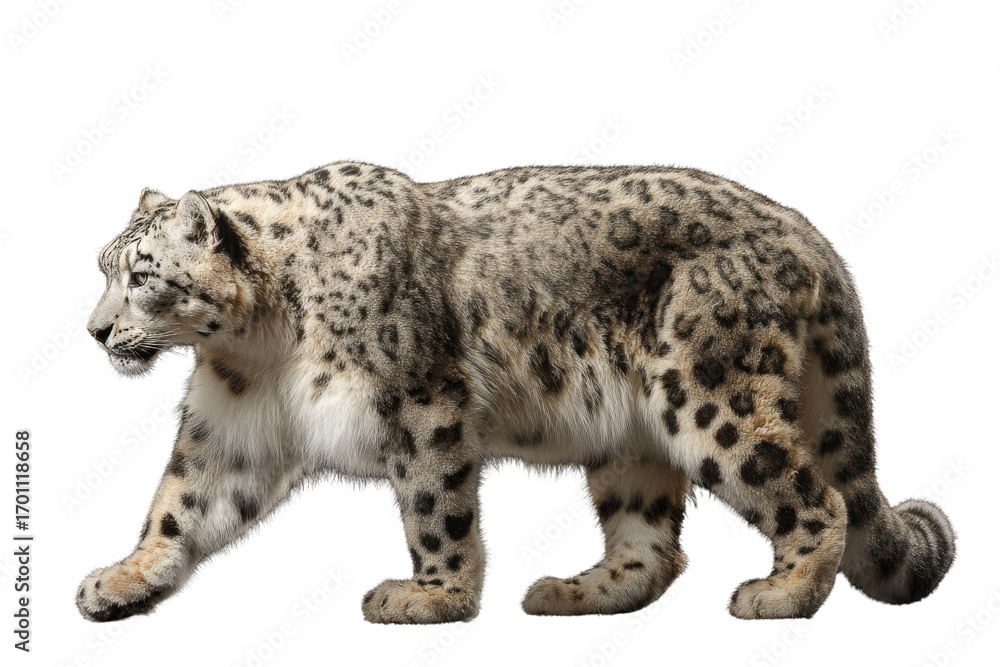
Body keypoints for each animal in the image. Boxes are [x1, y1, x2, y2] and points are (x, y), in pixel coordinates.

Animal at [77, 161, 956, 623]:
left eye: (142, 274)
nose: (94, 330)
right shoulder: (235, 423)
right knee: (652, 542)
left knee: (815, 494)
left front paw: (431, 595)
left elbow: (433, 504)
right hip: (629, 434)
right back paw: (571, 590)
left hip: (707, 391)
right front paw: (121, 578)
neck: (257, 345)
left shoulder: (420, 398)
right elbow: (182, 501)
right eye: (103, 267)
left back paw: (779, 594)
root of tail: (809, 234)